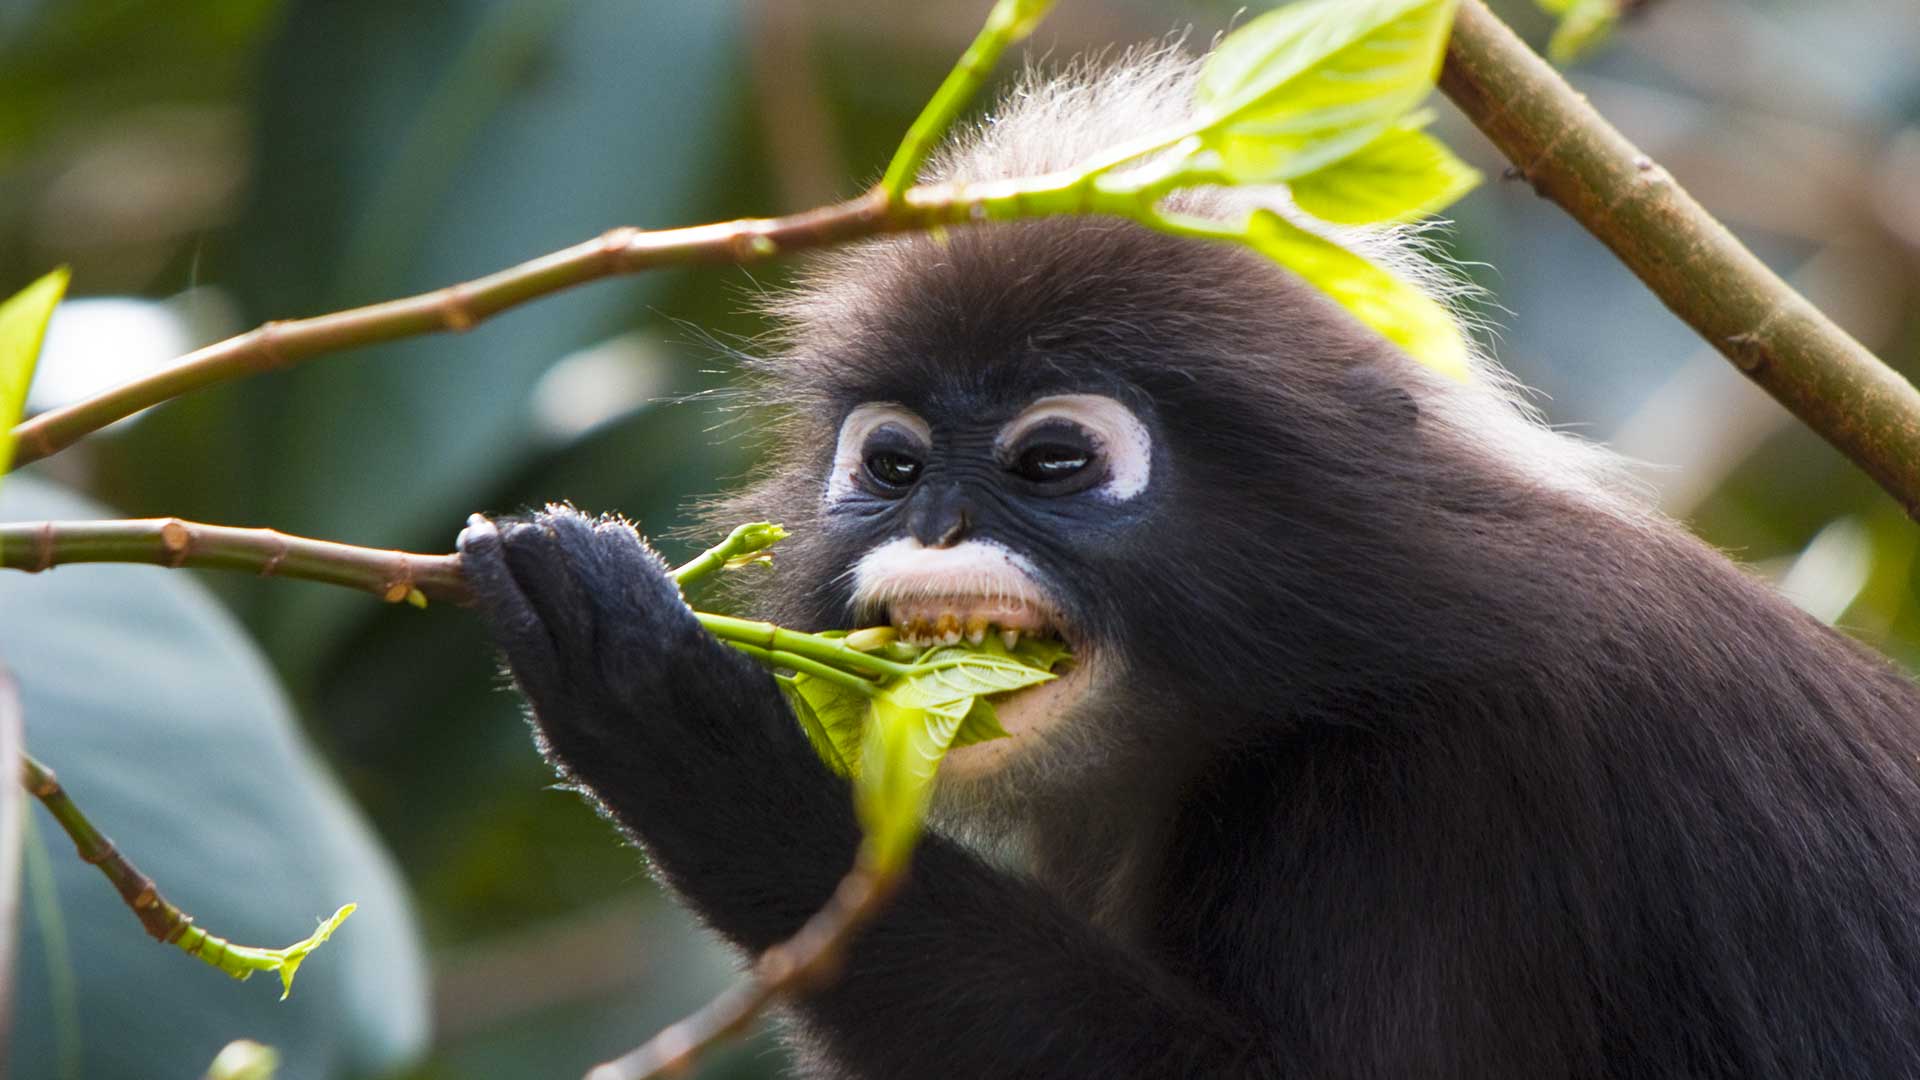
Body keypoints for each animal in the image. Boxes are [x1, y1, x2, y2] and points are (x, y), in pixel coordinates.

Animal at [456, 48, 1920, 1068]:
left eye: (1054, 462)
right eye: (896, 468)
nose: (934, 528)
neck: (1332, 671)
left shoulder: (1453, 793)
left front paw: (683, 726)